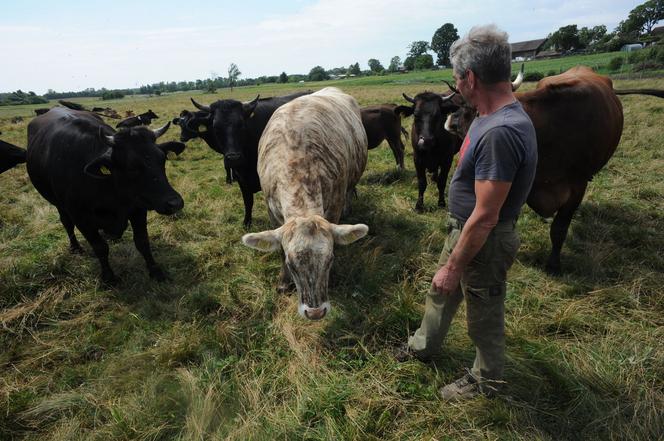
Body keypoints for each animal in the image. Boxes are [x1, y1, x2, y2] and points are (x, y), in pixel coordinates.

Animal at [27, 108, 185, 284]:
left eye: (162, 159)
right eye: (131, 167)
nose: (175, 203)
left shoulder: (137, 208)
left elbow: (142, 241)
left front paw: (155, 271)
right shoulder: (81, 218)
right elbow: (100, 247)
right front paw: (109, 277)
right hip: (59, 204)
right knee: (66, 223)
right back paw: (75, 247)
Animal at [187, 90, 312, 227]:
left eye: (241, 124)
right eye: (216, 127)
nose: (234, 158)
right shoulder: (241, 178)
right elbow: (248, 201)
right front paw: (246, 222)